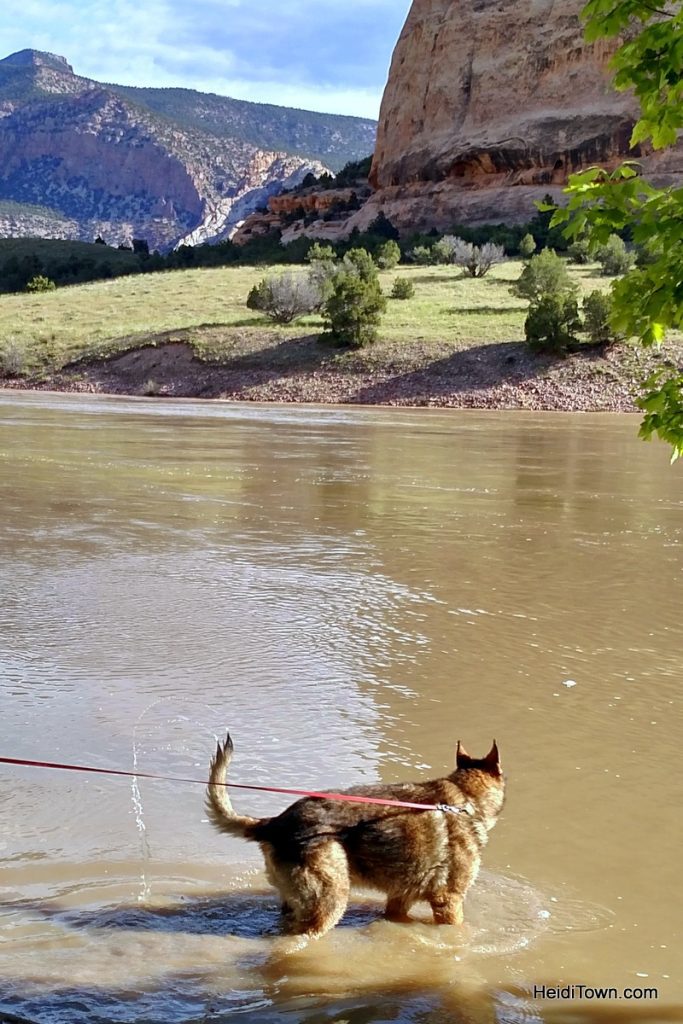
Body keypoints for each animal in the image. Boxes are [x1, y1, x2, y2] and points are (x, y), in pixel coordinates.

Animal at [205, 733, 505, 937]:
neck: (466, 799)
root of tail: (274, 823)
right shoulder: (449, 901)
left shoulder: (400, 898)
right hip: (330, 900)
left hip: (294, 902)